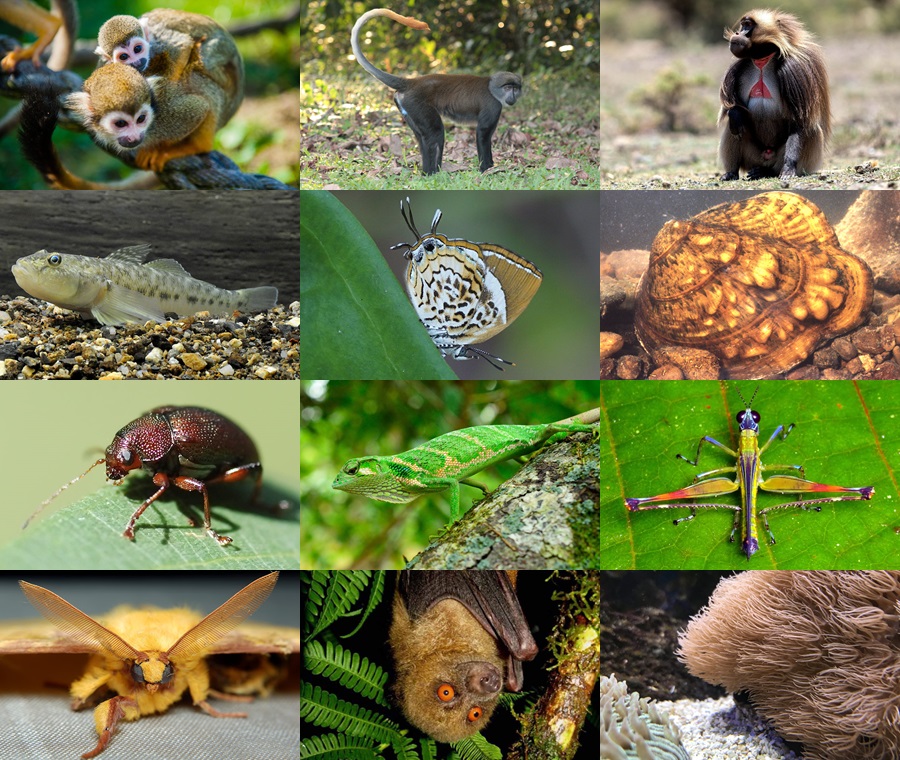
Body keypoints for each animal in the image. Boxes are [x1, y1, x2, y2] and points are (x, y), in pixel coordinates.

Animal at [351, 8, 522, 175]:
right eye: (508, 88)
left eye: (516, 88)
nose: (513, 95)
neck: (491, 87)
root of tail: (412, 82)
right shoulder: (493, 105)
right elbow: (482, 134)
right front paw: (486, 169)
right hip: (417, 104)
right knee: (435, 132)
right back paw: (432, 173)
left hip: (408, 108)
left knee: (422, 137)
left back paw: (427, 172)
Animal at [718, 9, 831, 180]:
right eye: (742, 25)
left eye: (748, 25)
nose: (737, 33)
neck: (763, 61)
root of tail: (767, 157)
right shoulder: (739, 68)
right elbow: (736, 110)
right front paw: (736, 113)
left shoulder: (793, 69)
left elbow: (799, 122)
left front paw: (789, 168)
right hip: (753, 157)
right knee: (734, 126)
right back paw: (732, 173)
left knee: (811, 128)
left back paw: (767, 172)